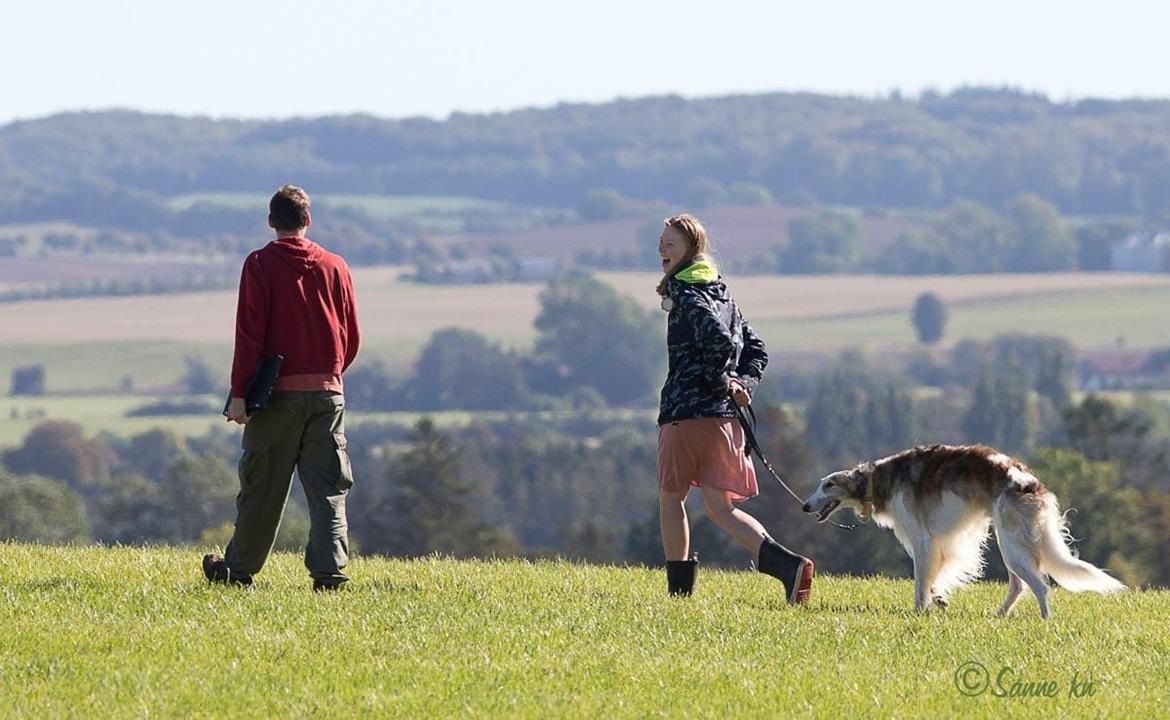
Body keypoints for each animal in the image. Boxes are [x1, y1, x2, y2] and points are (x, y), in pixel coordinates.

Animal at [804, 444, 1123, 618]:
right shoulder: (940, 543)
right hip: (1009, 544)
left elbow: (921, 582)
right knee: (1019, 585)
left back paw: (1044, 621)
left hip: (1011, 543)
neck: (877, 480)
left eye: (828, 485)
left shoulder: (922, 540)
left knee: (1040, 586)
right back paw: (999, 616)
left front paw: (920, 610)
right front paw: (939, 600)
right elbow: (934, 579)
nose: (805, 506)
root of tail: (1029, 481)